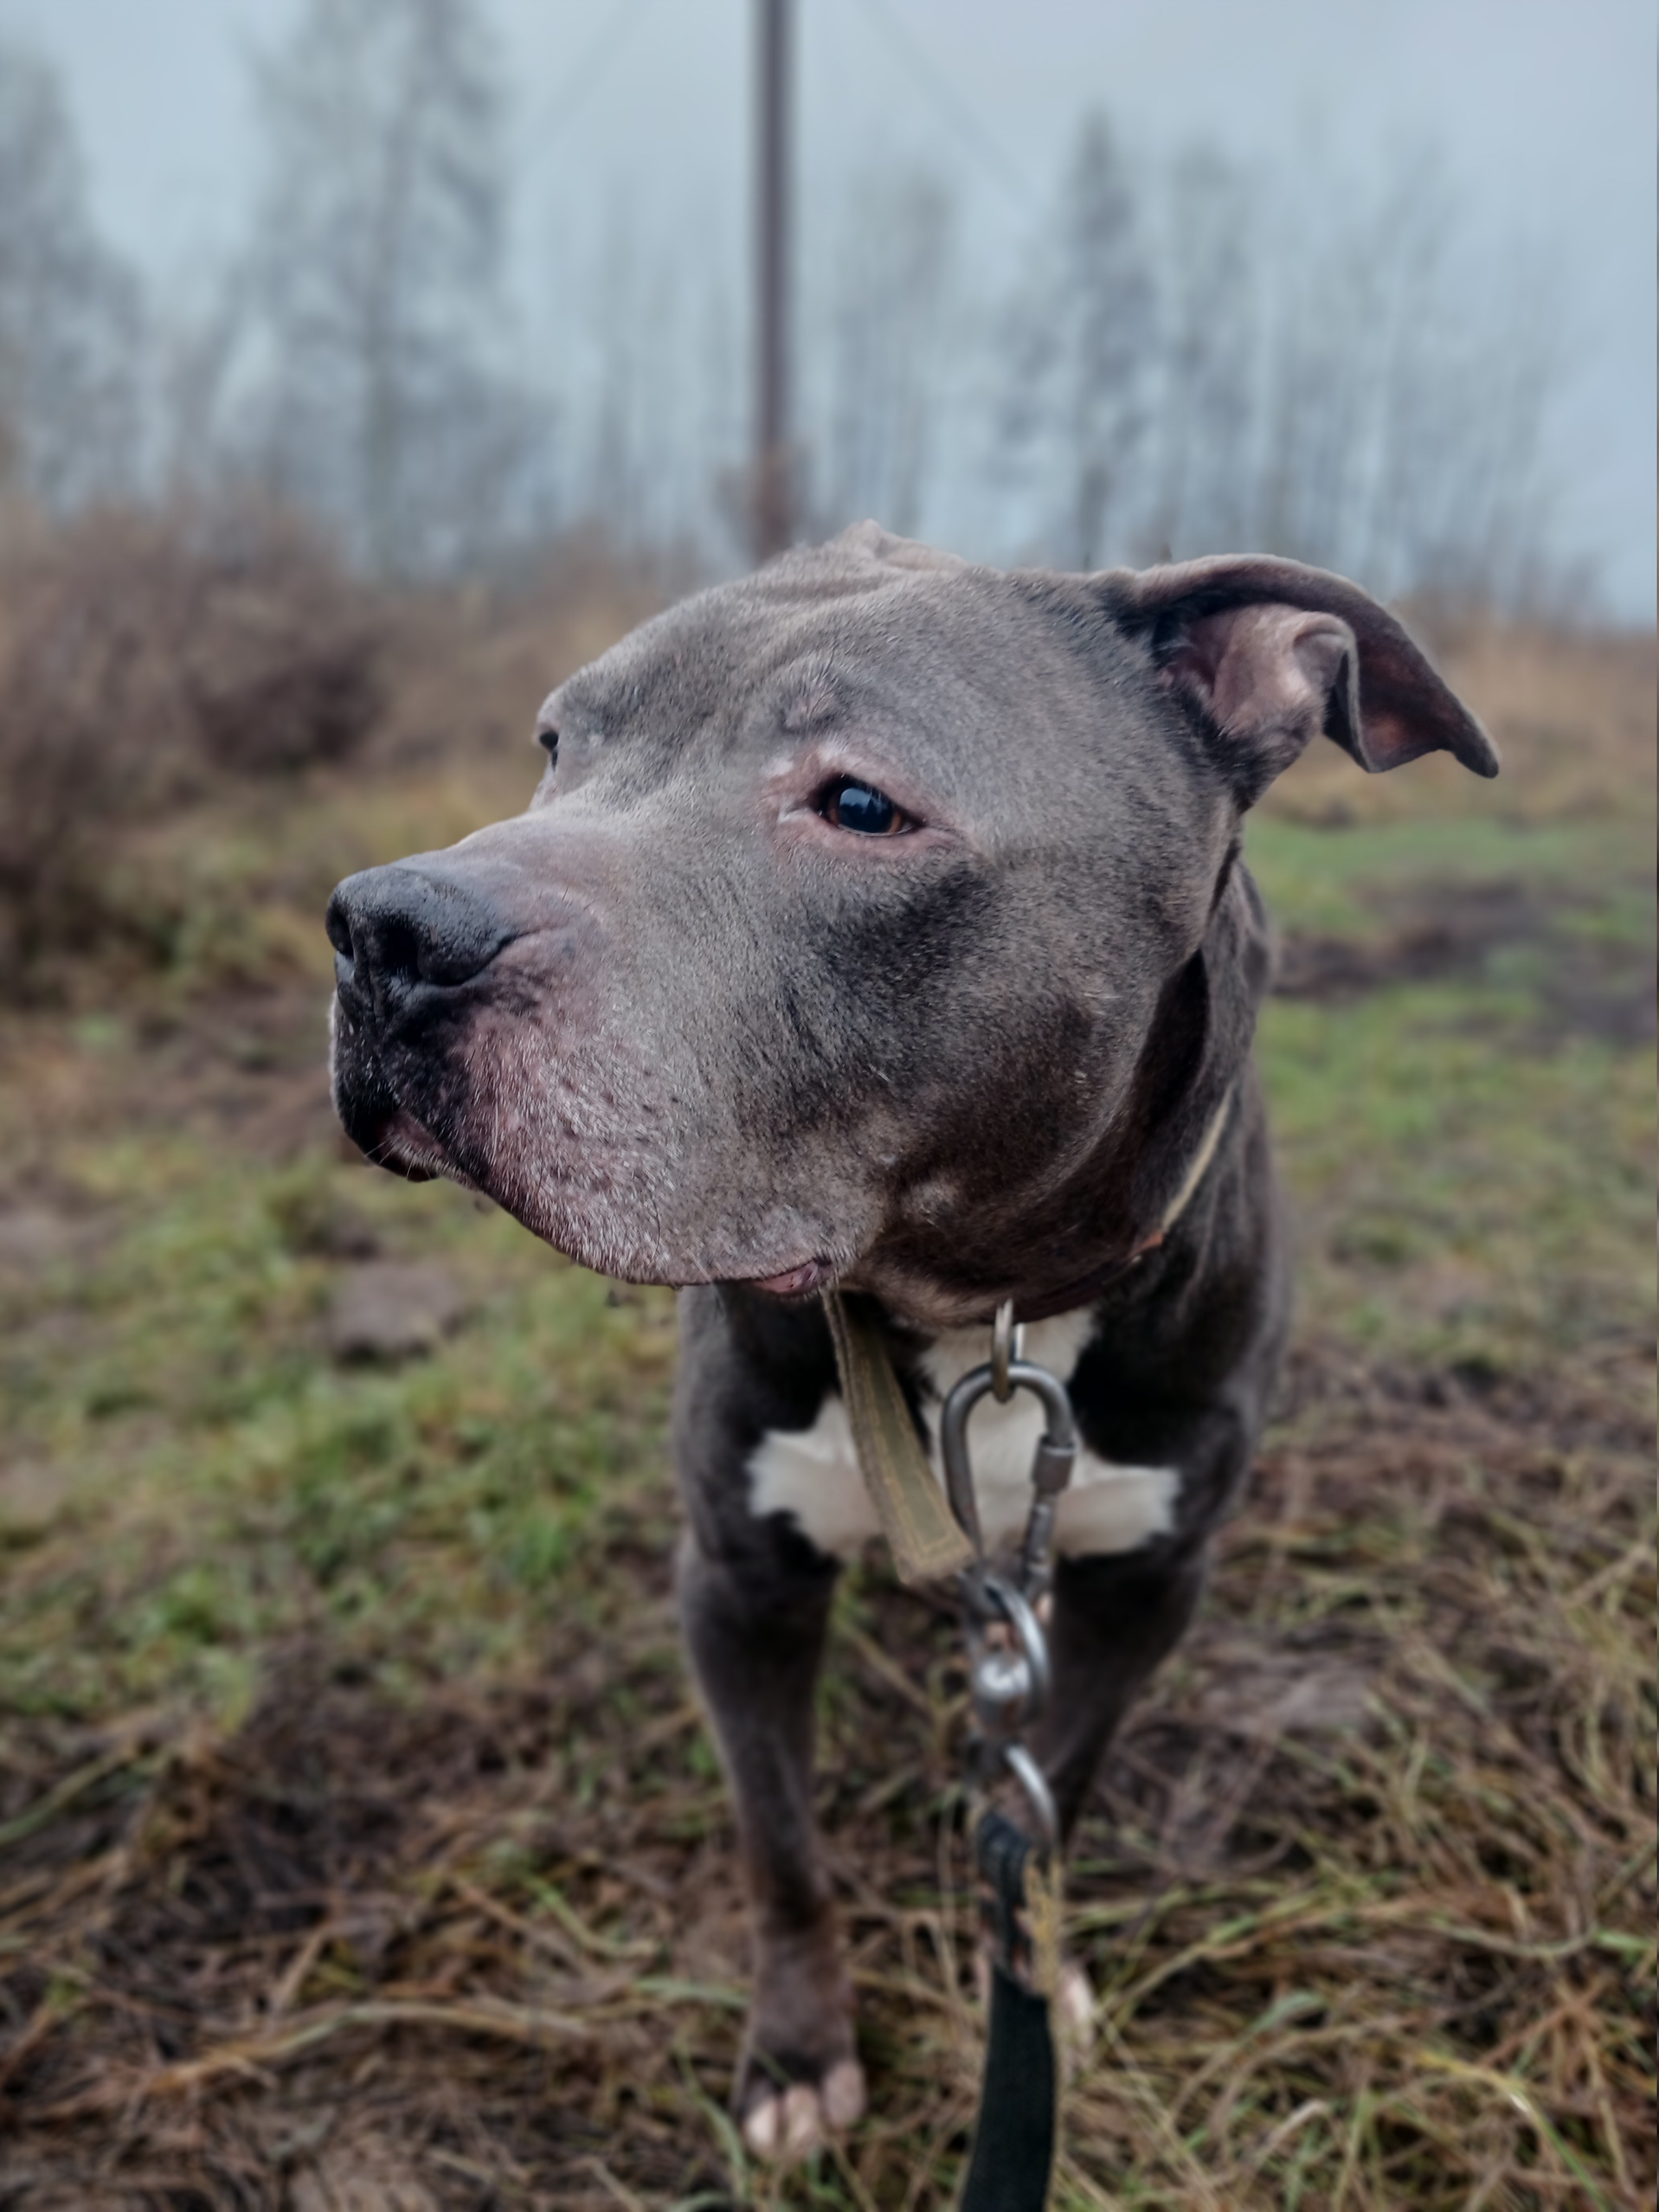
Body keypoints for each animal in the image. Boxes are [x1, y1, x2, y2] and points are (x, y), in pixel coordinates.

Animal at [326, 524, 1496, 2160]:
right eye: (558, 745)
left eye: (860, 804)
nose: (388, 928)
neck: (977, 1300)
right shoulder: (738, 1577)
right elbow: (782, 1847)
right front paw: (798, 2052)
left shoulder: (1151, 1581)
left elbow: (1061, 1775)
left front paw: (1038, 1965)